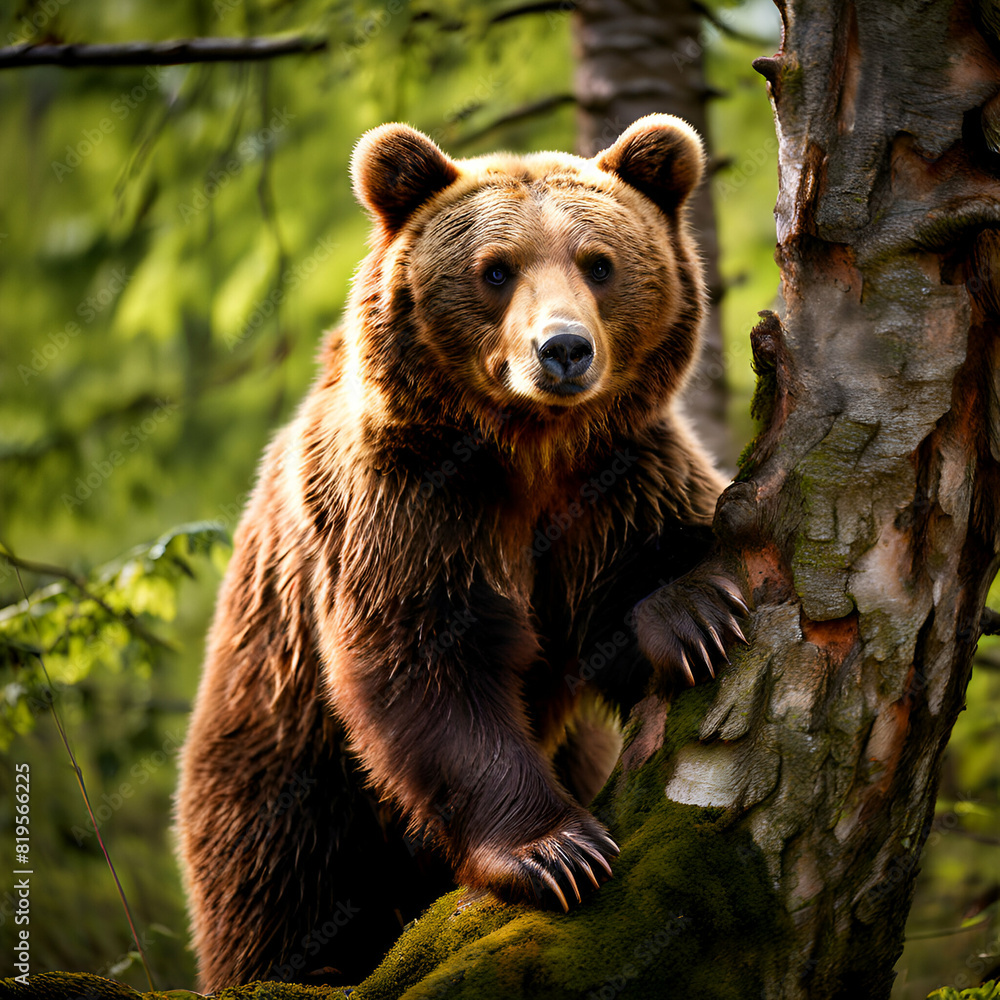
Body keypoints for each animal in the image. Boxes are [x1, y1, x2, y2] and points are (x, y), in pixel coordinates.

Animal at [175, 114, 748, 991]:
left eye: (599, 263)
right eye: (496, 270)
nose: (563, 350)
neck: (529, 450)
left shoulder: (617, 475)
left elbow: (649, 564)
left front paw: (695, 615)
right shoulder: (407, 503)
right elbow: (426, 662)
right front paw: (556, 851)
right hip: (283, 763)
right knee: (275, 888)